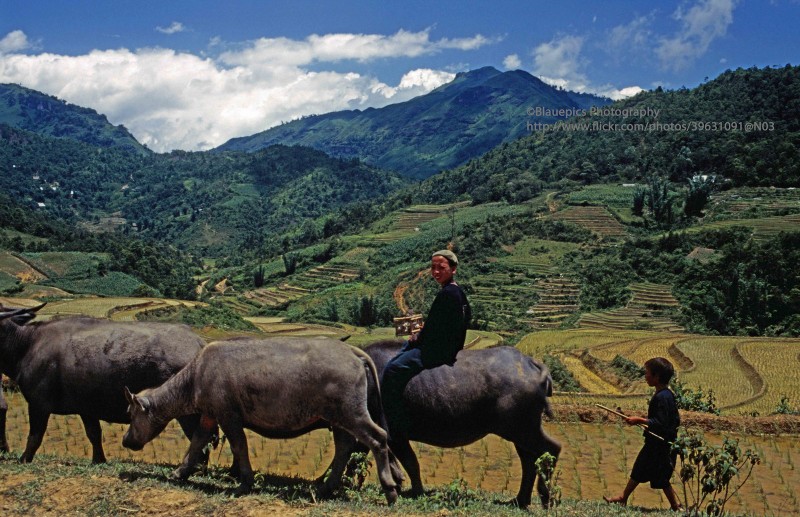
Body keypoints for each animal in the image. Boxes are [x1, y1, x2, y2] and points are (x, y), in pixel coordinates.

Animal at [0, 300, 209, 462]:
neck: (27, 344)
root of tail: (199, 344)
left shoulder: (38, 404)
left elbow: (35, 436)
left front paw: (24, 459)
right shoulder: (86, 408)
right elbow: (94, 434)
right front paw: (98, 459)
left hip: (187, 413)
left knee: (199, 437)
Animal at [121, 334, 400, 504]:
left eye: (131, 414)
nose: (126, 440)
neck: (197, 375)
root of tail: (352, 352)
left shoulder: (229, 417)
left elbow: (239, 446)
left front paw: (244, 482)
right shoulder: (210, 416)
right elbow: (197, 442)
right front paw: (180, 472)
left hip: (352, 413)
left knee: (378, 439)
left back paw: (390, 489)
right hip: (338, 418)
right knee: (344, 447)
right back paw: (325, 488)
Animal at [358, 338, 564, 508]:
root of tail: (531, 364)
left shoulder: (395, 434)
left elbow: (410, 463)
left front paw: (416, 491)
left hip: (523, 429)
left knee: (551, 449)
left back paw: (545, 497)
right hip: (521, 432)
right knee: (529, 460)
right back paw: (520, 500)